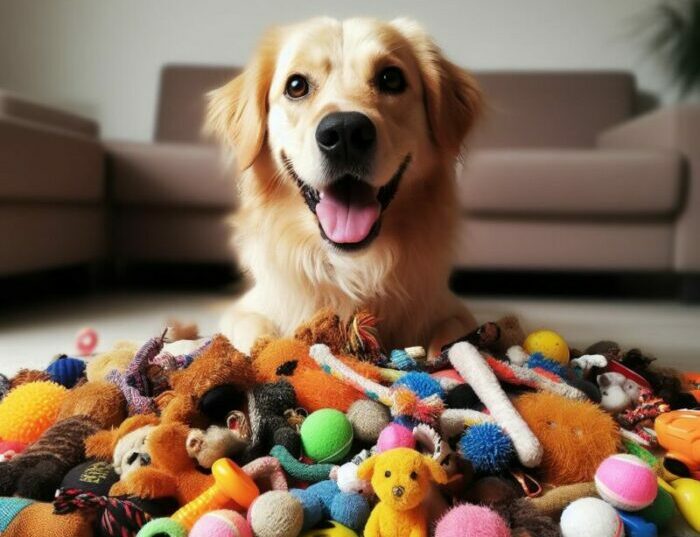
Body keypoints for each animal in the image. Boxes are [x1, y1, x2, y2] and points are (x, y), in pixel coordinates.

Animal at [208, 16, 482, 356]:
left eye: (391, 78)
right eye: (296, 85)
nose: (345, 132)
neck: (353, 268)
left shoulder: (453, 310)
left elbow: (455, 337)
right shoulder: (246, 310)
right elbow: (254, 335)